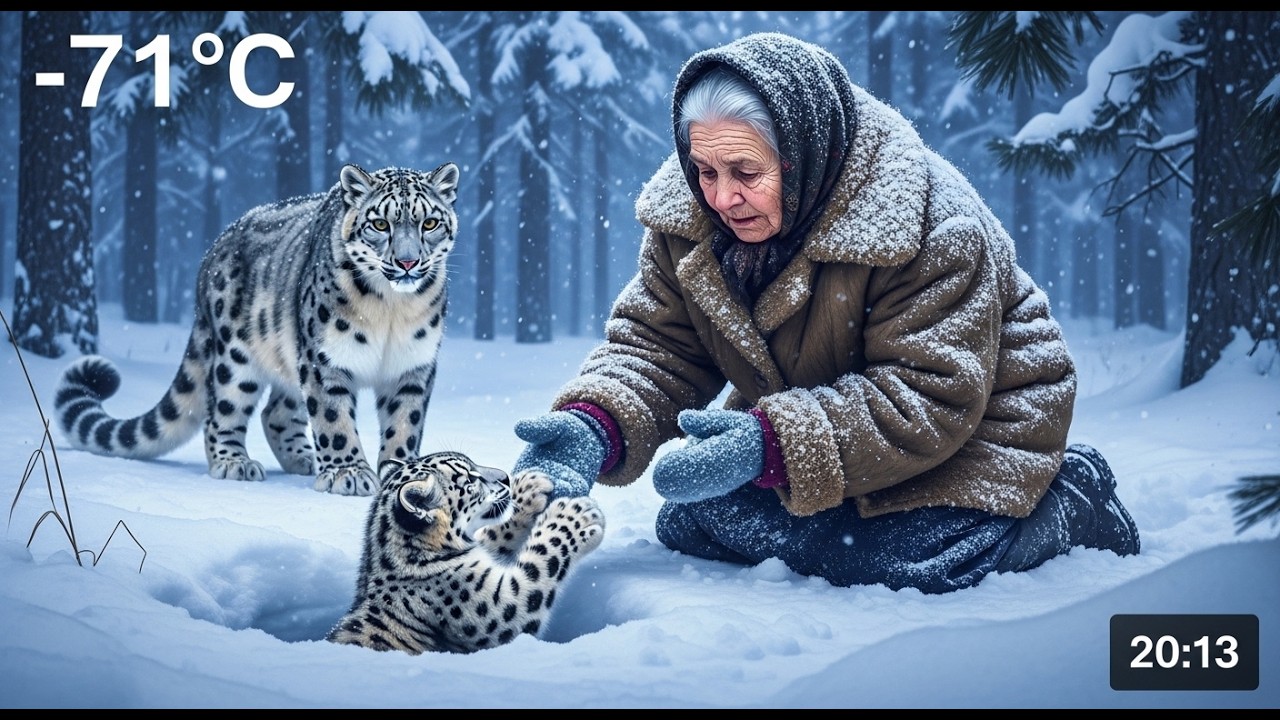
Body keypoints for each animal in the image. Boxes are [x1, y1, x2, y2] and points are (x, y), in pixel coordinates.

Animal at [53, 162, 460, 496]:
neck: (391, 309)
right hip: (237, 358)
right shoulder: (325, 360)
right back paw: (235, 463)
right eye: (380, 223)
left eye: (429, 223)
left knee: (276, 412)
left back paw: (303, 459)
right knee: (221, 412)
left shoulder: (413, 366)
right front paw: (348, 473)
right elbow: (333, 418)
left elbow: (404, 424)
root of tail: (211, 253)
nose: (407, 262)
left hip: (288, 356)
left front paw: (400, 475)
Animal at [325, 450, 606, 655]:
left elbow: (493, 536)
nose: (505, 477)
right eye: (469, 481)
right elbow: (539, 565)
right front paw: (575, 516)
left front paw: (529, 487)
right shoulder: (494, 609)